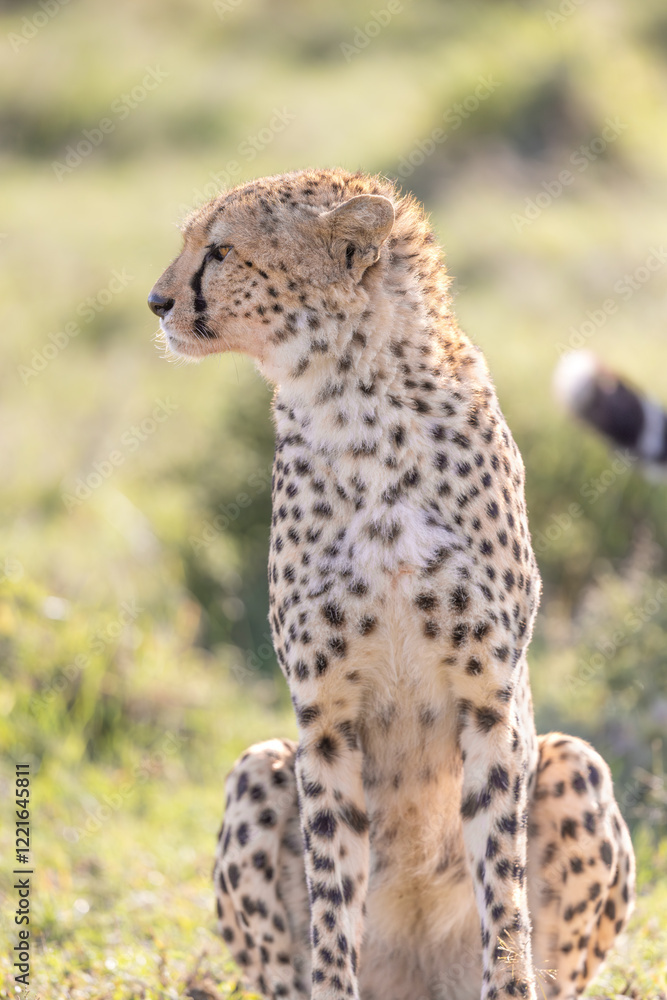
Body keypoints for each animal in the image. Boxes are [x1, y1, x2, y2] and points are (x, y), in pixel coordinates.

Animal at [148, 167, 635, 1000]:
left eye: (220, 251)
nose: (157, 302)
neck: (359, 406)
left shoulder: (487, 698)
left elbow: (500, 892)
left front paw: (506, 977)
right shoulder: (324, 715)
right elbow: (333, 894)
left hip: (575, 763)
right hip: (257, 769)